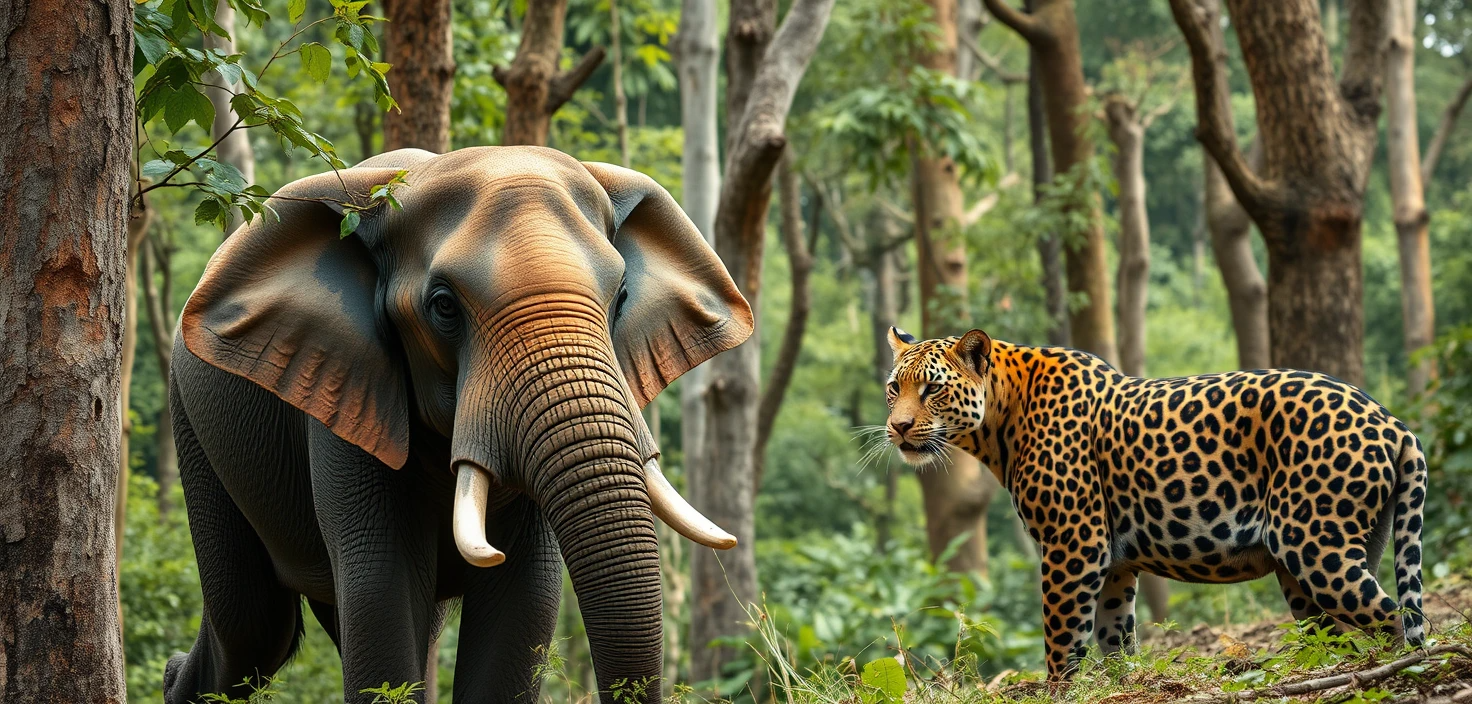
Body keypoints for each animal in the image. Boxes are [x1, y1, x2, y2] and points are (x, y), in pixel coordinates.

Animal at [162, 146, 751, 704]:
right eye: (444, 307)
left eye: (623, 296)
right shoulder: (347, 399)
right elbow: (382, 590)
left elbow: (526, 594)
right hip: (192, 425)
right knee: (255, 625)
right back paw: (173, 676)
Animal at [883, 326, 1428, 680]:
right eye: (894, 388)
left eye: (932, 389)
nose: (899, 427)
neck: (1000, 420)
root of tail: (1391, 419)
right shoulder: (1115, 564)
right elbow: (1114, 638)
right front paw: (1122, 683)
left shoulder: (1072, 546)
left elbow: (1061, 639)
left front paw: (1060, 690)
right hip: (1322, 563)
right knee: (1340, 633)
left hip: (1315, 547)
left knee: (1395, 620)